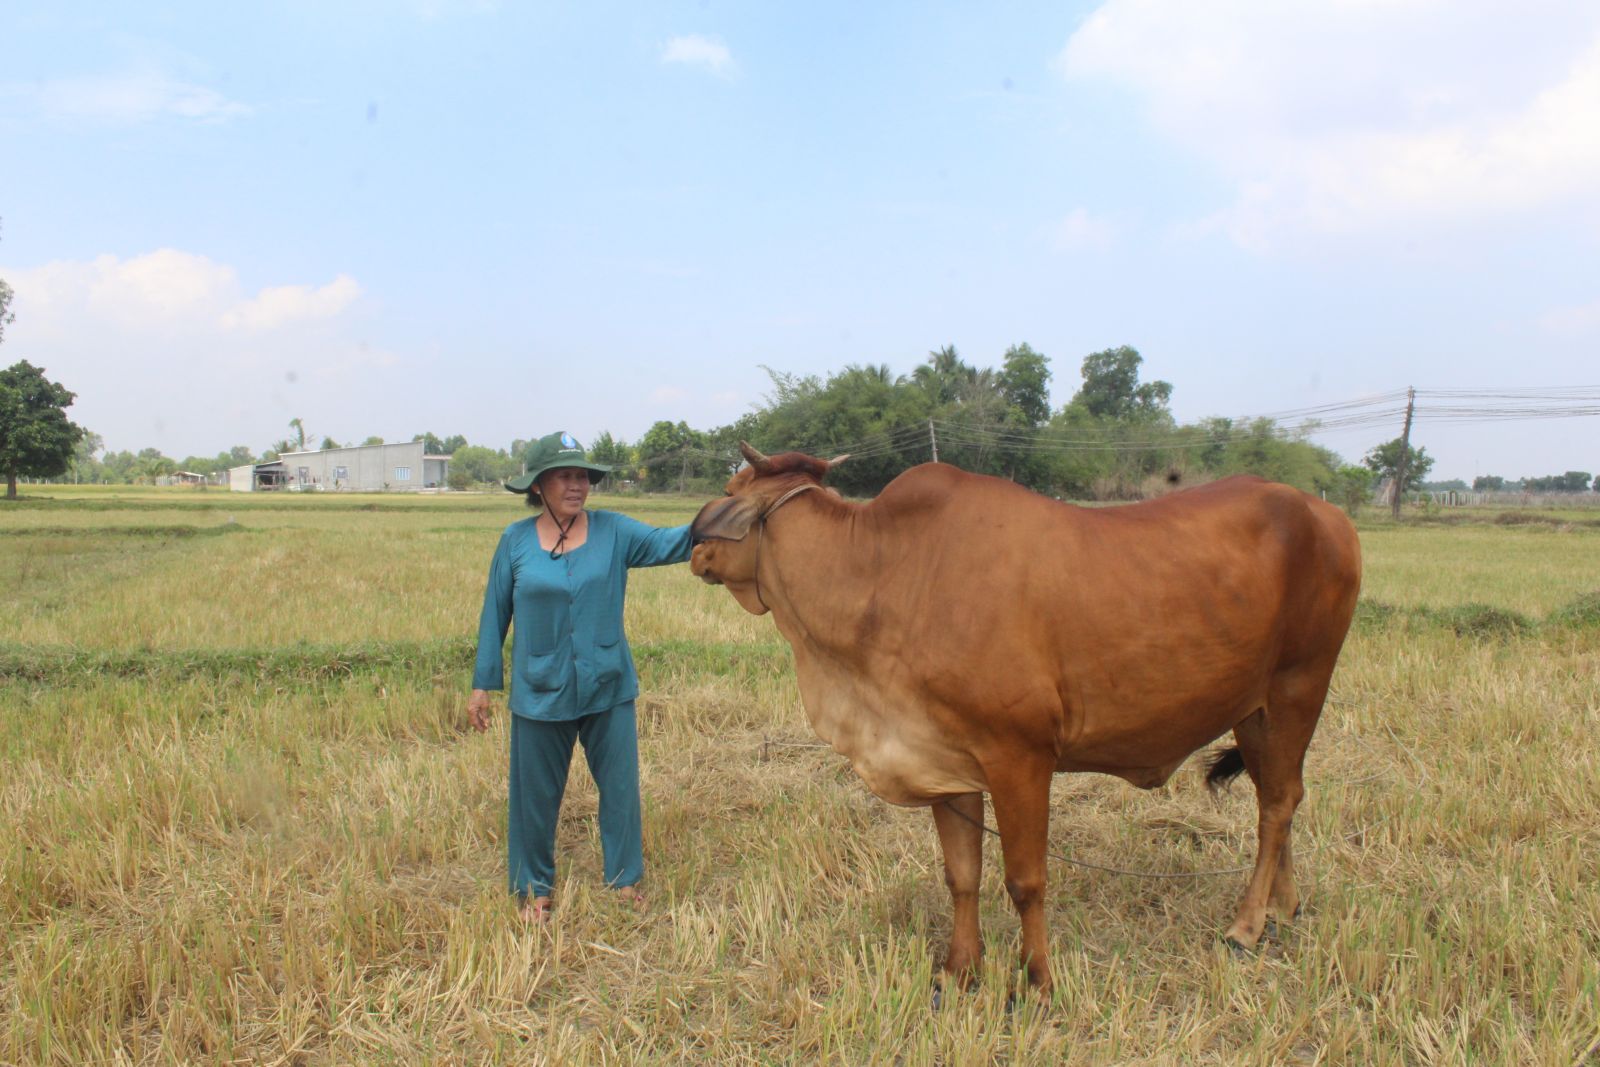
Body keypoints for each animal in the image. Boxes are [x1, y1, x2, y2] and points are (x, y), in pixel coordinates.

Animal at [688, 447, 1363, 998]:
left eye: (729, 483)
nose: (693, 547)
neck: (885, 571)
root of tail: (1323, 512)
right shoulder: (945, 763)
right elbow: (962, 875)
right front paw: (958, 970)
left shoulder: (1021, 758)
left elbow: (1025, 880)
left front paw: (1036, 980)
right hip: (1253, 709)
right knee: (1278, 798)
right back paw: (1282, 908)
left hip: (1299, 686)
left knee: (1279, 803)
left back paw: (1246, 926)